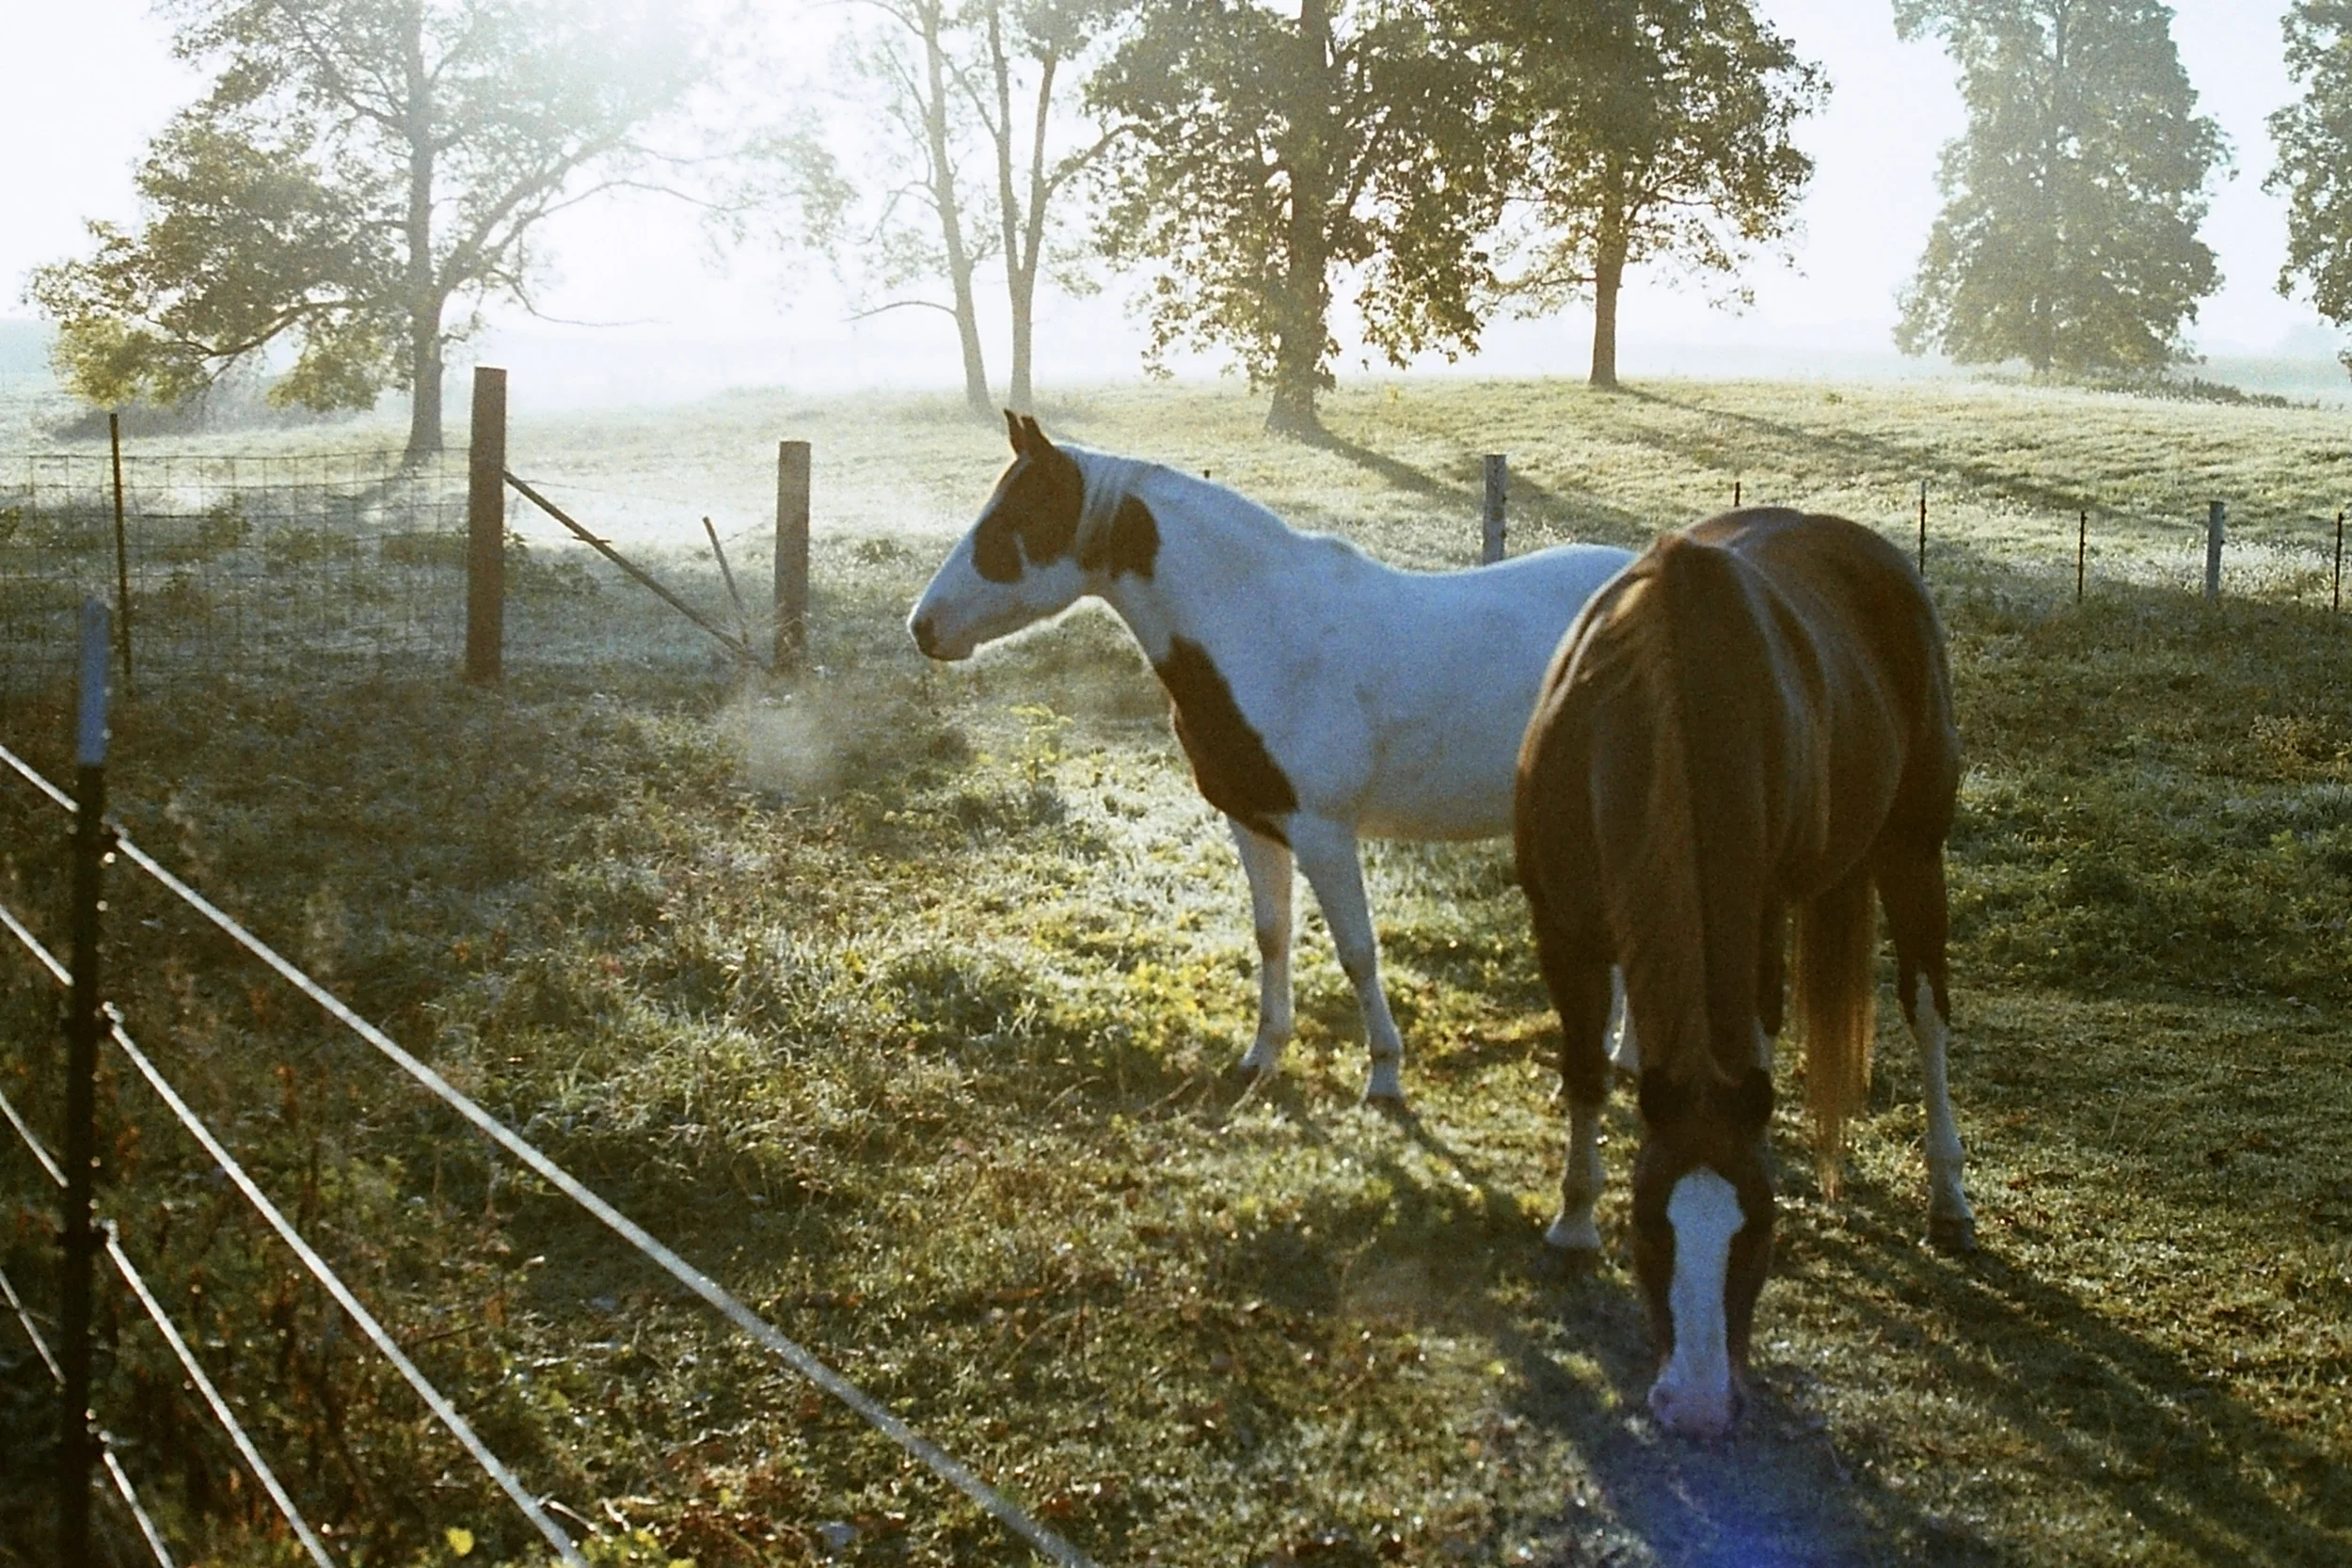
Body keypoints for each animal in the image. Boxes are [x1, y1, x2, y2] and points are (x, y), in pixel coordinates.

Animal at [910, 413, 1634, 1106]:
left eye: (1015, 520)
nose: (922, 626)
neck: (1267, 633)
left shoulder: (1323, 833)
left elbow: (1357, 952)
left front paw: (1385, 1075)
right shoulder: (1252, 822)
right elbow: (1273, 934)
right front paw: (1263, 1055)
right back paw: (1617, 1059)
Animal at [1514, 507, 1975, 1441]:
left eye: (1758, 1231)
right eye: (1646, 1223)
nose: (1696, 1403)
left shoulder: (1756, 910)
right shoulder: (1563, 926)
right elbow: (1582, 1072)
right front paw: (1573, 1222)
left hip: (1912, 851)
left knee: (1926, 1007)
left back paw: (1949, 1192)